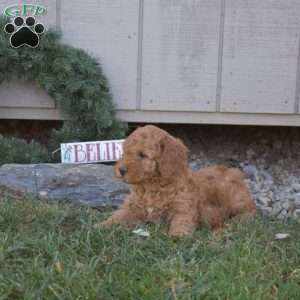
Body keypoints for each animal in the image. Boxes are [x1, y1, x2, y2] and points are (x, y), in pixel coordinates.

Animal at [96, 124, 255, 237]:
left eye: (142, 155)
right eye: (125, 152)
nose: (121, 170)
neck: (152, 186)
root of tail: (234, 171)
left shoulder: (183, 207)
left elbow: (181, 221)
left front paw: (177, 236)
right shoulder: (132, 207)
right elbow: (118, 216)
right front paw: (102, 226)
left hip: (233, 198)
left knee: (249, 213)